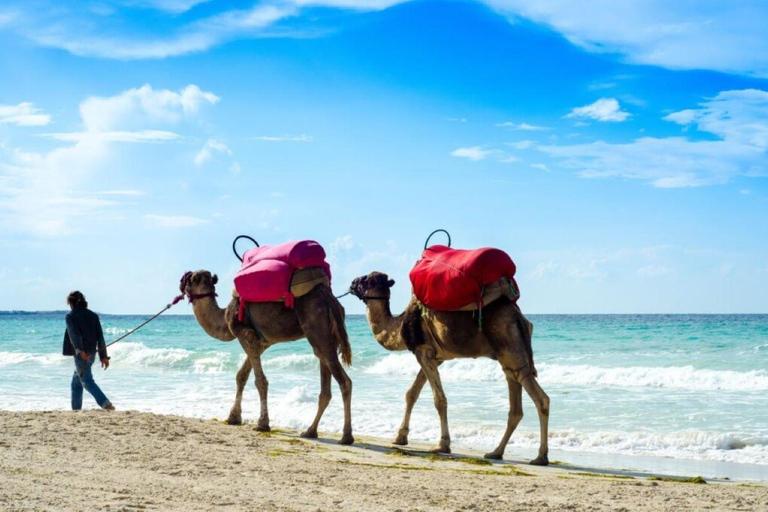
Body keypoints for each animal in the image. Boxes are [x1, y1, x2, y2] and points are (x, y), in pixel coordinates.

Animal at [184, 268, 356, 444]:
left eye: (190, 278)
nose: (181, 283)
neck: (224, 318)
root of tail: (328, 297)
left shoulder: (245, 334)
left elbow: (260, 381)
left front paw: (262, 424)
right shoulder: (262, 342)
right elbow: (241, 376)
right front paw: (233, 417)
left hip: (318, 327)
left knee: (344, 381)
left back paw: (346, 436)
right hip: (325, 335)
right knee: (325, 386)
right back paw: (310, 431)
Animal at [352, 272, 548, 464]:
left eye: (368, 280)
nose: (352, 283)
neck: (399, 325)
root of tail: (519, 318)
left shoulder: (423, 350)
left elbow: (439, 399)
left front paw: (442, 445)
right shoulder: (434, 356)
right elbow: (412, 393)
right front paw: (400, 437)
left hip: (509, 346)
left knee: (540, 397)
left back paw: (540, 457)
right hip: (507, 356)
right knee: (515, 404)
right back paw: (496, 452)